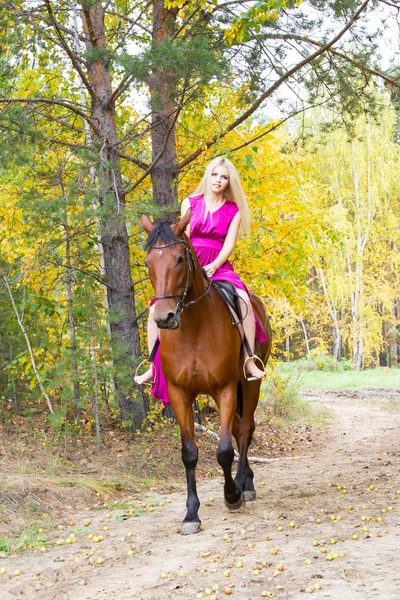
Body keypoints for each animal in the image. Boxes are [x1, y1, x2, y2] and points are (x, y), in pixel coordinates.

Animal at [141, 212, 272, 536]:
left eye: (179, 259)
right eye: (148, 262)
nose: (164, 318)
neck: (193, 328)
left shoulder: (225, 388)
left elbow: (224, 449)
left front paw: (232, 496)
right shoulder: (179, 394)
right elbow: (189, 453)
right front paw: (191, 514)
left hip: (249, 384)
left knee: (244, 429)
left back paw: (244, 485)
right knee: (239, 428)